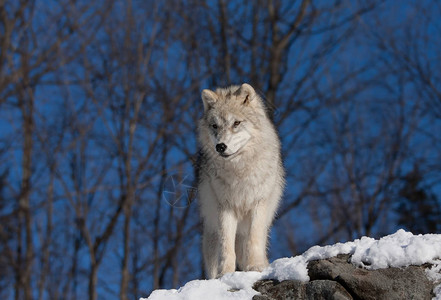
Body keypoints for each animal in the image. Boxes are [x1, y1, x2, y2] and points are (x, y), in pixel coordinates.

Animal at [197, 82, 286, 278]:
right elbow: (226, 247)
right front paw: (225, 274)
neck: (239, 170)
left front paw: (256, 267)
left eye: (236, 123)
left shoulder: (258, 204)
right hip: (211, 234)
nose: (220, 146)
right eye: (215, 126)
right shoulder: (225, 207)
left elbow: (254, 240)